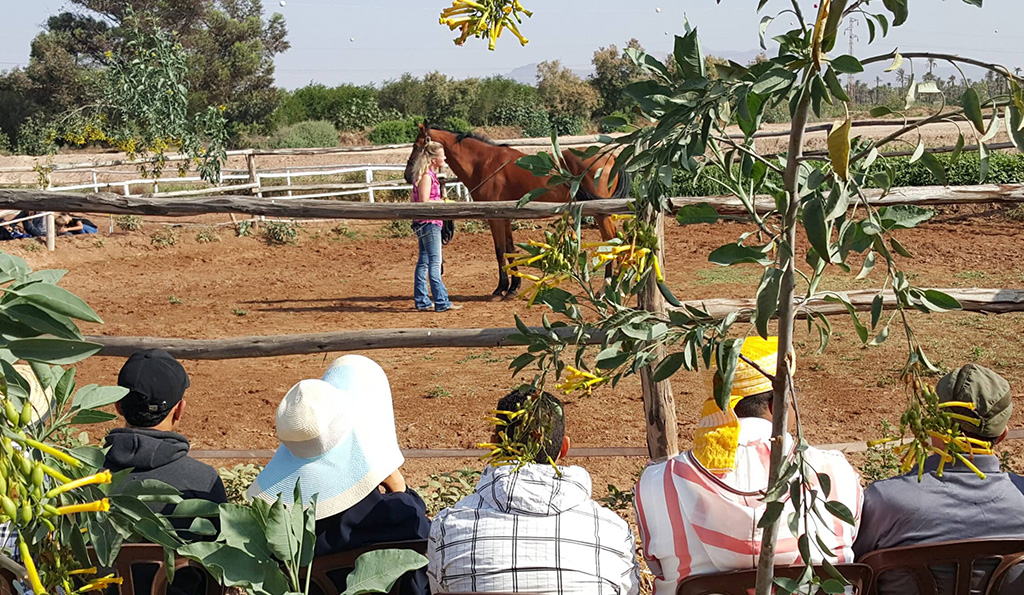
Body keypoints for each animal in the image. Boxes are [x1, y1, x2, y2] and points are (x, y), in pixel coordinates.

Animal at [401, 123, 626, 301]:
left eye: (416, 145)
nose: (407, 175)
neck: (483, 163)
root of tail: (611, 158)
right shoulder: (505, 216)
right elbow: (509, 249)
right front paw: (513, 288)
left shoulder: (494, 218)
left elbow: (500, 250)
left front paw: (501, 289)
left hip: (601, 214)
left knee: (613, 243)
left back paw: (608, 288)